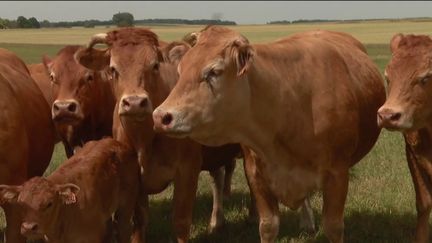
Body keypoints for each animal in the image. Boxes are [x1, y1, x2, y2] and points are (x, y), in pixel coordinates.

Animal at [0, 138, 139, 243]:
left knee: (124, 229)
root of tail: (115, 142)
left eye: (49, 203)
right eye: (20, 203)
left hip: (127, 205)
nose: (29, 227)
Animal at [75, 28, 255, 241]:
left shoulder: (187, 169)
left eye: (154, 66)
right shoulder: (134, 179)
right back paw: (216, 222)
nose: (134, 103)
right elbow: (140, 220)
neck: (144, 139)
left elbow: (181, 221)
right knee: (218, 178)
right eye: (112, 69)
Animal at [154, 25, 386, 242]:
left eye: (214, 71)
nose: (161, 116)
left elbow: (333, 227)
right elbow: (268, 226)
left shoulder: (337, 174)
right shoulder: (257, 175)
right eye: (181, 70)